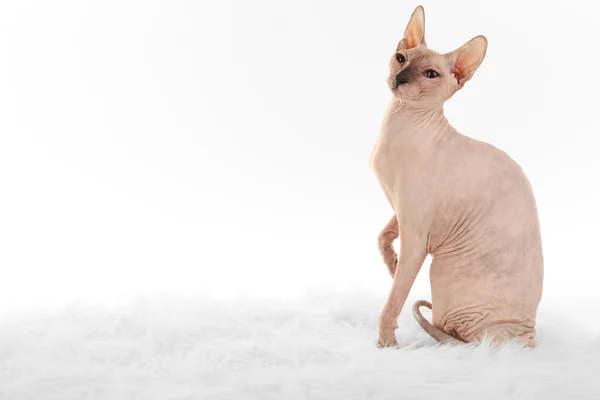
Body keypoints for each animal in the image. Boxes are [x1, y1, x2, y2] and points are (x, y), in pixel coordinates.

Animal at [370, 6, 544, 350]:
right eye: (401, 58)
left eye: (430, 75)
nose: (400, 78)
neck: (400, 123)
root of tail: (526, 338)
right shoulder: (400, 208)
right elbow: (382, 237)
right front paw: (392, 264)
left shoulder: (417, 236)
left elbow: (395, 298)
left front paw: (386, 344)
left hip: (441, 268)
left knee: (452, 334)